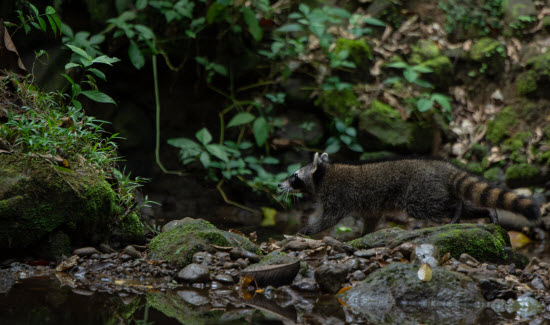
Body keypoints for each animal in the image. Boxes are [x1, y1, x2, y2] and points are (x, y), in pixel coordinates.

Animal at [280, 153, 544, 234]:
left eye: (294, 176)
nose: (280, 186)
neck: (324, 174)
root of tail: (440, 166)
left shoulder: (338, 195)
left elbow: (329, 218)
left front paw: (308, 230)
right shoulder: (368, 206)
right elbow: (371, 218)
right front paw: (364, 234)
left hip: (419, 191)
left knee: (431, 206)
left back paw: (456, 208)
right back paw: (481, 211)